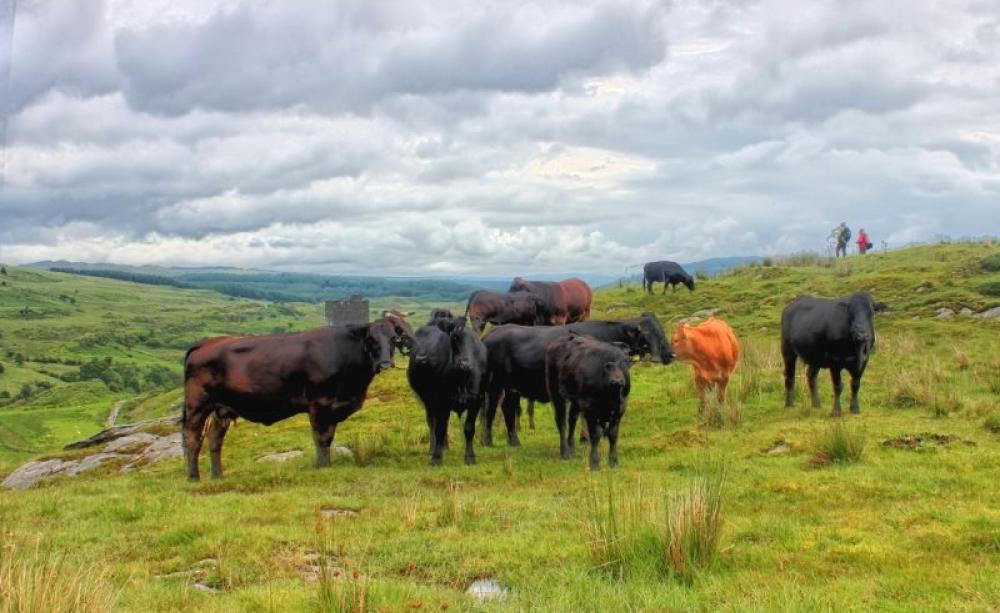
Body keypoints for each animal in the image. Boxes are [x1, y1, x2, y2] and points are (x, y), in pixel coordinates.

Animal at [181, 311, 415, 481]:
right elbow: (321, 438)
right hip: (198, 405)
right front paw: (323, 467)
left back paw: (217, 476)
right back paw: (194, 478)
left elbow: (329, 438)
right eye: (371, 339)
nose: (385, 364)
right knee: (192, 439)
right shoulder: (319, 404)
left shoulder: (334, 408)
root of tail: (206, 343)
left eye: (393, 339)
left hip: (222, 408)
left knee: (214, 439)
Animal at [407, 313, 488, 466]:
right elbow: (439, 429)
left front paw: (470, 457)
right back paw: (434, 448)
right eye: (454, 338)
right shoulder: (441, 401)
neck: (462, 380)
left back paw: (445, 447)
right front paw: (436, 458)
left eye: (474, 341)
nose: (465, 363)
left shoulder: (476, 401)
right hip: (428, 401)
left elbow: (469, 428)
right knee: (432, 423)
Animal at [481, 313, 673, 448]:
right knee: (490, 410)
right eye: (647, 337)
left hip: (512, 387)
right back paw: (487, 441)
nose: (671, 355)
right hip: (494, 385)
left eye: (662, 333)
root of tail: (491, 334)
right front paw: (585, 437)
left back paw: (514, 441)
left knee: (507, 408)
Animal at [546, 333, 631, 470]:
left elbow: (613, 435)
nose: (617, 381)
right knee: (561, 421)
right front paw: (594, 463)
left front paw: (614, 462)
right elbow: (596, 434)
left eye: (625, 363)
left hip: (576, 401)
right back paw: (565, 452)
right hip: (556, 393)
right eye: (608, 366)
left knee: (572, 420)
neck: (610, 396)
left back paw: (572, 448)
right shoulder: (590, 408)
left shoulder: (620, 408)